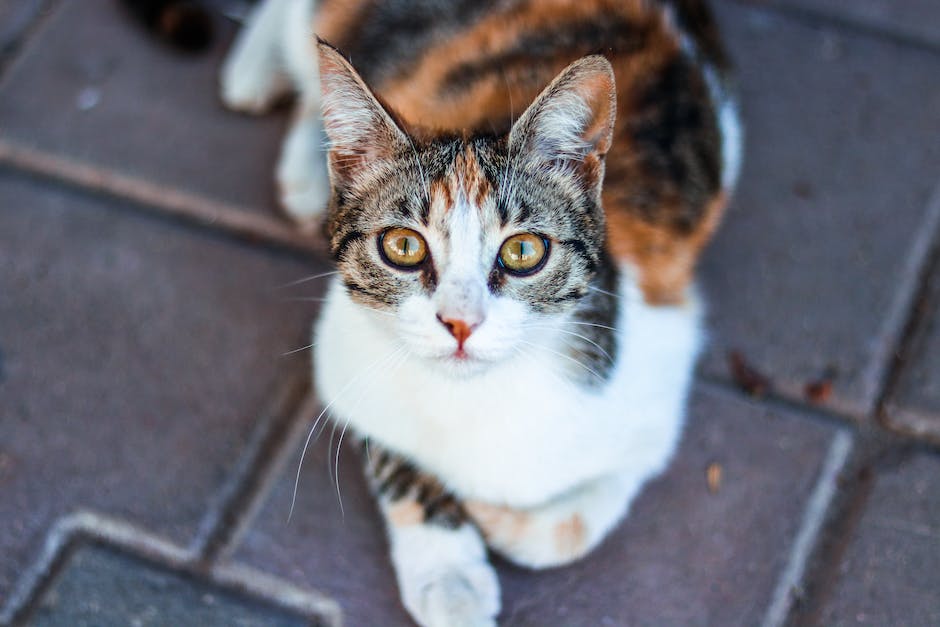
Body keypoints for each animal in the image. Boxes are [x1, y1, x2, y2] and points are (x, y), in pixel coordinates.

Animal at [222, 2, 740, 624]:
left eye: (523, 251)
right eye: (403, 246)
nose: (461, 323)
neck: (474, 398)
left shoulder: (657, 378)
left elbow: (571, 528)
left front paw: (495, 519)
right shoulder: (344, 355)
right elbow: (398, 451)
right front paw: (450, 578)